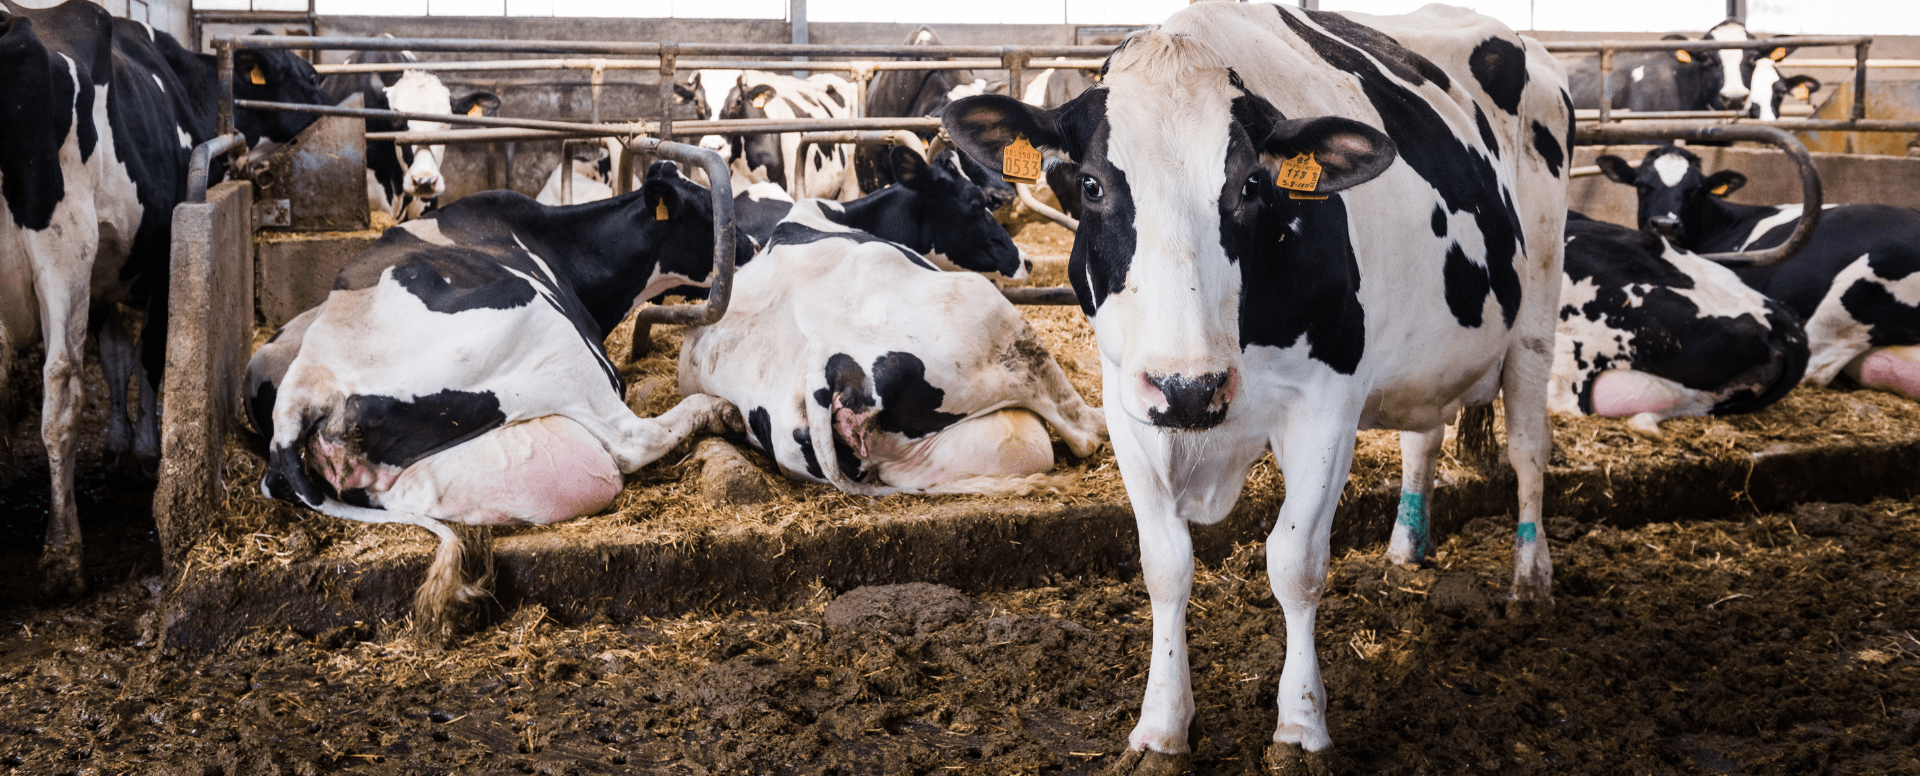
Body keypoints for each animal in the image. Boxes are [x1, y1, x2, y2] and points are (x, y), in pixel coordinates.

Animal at [1, 0, 329, 596]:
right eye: (306, 76)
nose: (329, 92)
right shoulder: (156, 260)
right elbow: (150, 357)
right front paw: (149, 450)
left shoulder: (107, 276)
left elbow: (115, 357)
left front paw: (118, 448)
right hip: (63, 247)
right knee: (60, 390)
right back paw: (63, 554)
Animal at [246, 161, 751, 634]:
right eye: (709, 212)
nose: (750, 246)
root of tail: (305, 393)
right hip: (541, 323)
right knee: (631, 440)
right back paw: (718, 409)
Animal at [944, 4, 1568, 769]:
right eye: (1090, 185)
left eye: (1249, 185)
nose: (1189, 388)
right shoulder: (1129, 399)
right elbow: (1165, 564)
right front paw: (1161, 729)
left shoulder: (1329, 401)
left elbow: (1295, 563)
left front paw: (1299, 729)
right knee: (1423, 438)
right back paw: (1403, 552)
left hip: (1537, 312)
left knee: (1528, 450)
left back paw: (1528, 582)